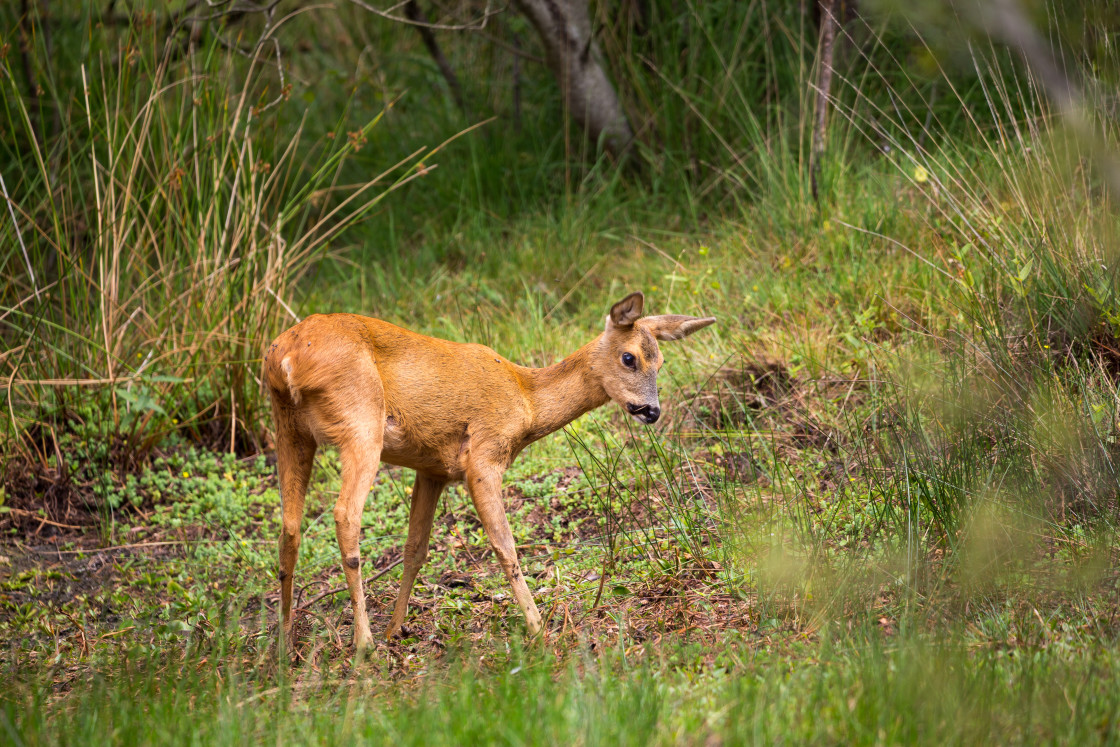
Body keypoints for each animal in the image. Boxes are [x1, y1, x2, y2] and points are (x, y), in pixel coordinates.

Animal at [263, 291, 716, 649]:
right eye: (629, 358)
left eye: (661, 362)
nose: (652, 411)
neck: (525, 398)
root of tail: (285, 357)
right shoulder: (483, 455)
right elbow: (505, 545)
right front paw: (538, 628)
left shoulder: (433, 469)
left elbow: (415, 549)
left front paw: (396, 629)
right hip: (360, 421)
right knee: (345, 515)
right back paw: (363, 644)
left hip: (289, 427)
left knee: (289, 527)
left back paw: (285, 644)